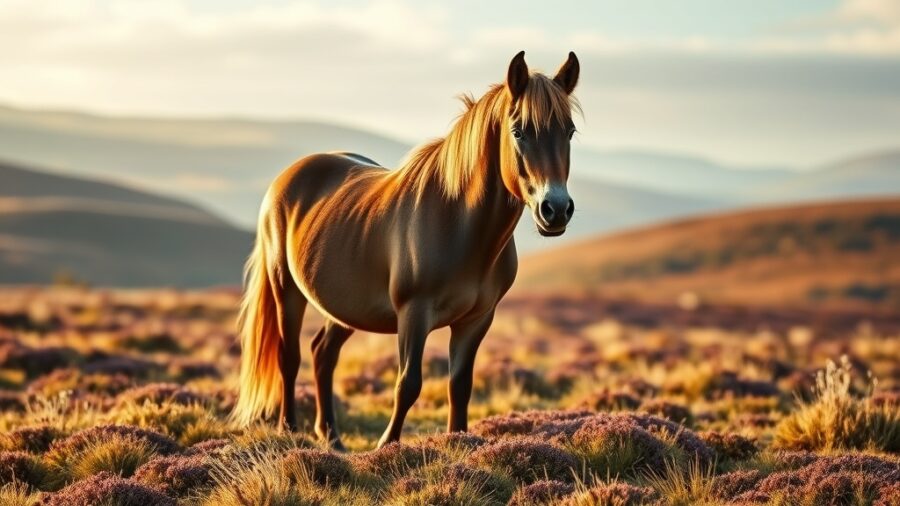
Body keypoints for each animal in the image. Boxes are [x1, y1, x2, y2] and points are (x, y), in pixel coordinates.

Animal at [233, 50, 581, 450]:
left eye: (569, 131)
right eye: (518, 131)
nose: (555, 209)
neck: (459, 224)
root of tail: (289, 176)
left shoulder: (477, 319)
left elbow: (460, 386)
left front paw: (458, 441)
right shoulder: (414, 313)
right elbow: (408, 383)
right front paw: (387, 446)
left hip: (345, 306)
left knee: (323, 354)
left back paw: (332, 439)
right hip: (286, 289)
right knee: (288, 357)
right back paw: (289, 430)